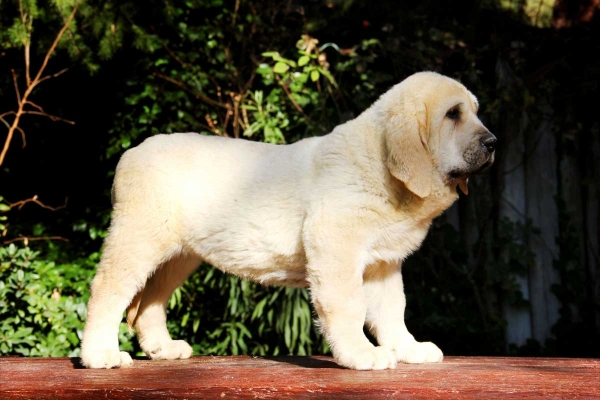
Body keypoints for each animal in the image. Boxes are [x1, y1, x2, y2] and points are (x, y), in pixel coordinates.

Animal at [81, 71, 496, 368]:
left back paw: (162, 349)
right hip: (138, 239)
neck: (381, 167)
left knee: (150, 303)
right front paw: (361, 354)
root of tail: (131, 152)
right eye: (453, 115)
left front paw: (408, 349)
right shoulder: (336, 247)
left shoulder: (382, 263)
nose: (493, 143)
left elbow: (393, 311)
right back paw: (100, 355)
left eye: (474, 112)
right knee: (108, 290)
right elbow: (349, 305)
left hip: (178, 256)